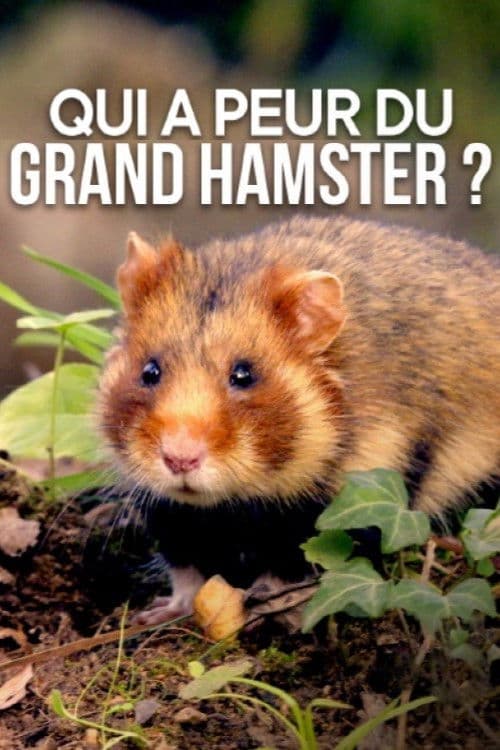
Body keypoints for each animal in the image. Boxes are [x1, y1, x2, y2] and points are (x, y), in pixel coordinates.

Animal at [99, 215, 500, 623]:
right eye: (149, 371)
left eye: (244, 375)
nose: (180, 460)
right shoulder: (171, 513)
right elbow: (187, 570)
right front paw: (156, 614)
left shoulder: (350, 494)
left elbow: (292, 559)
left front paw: (268, 601)